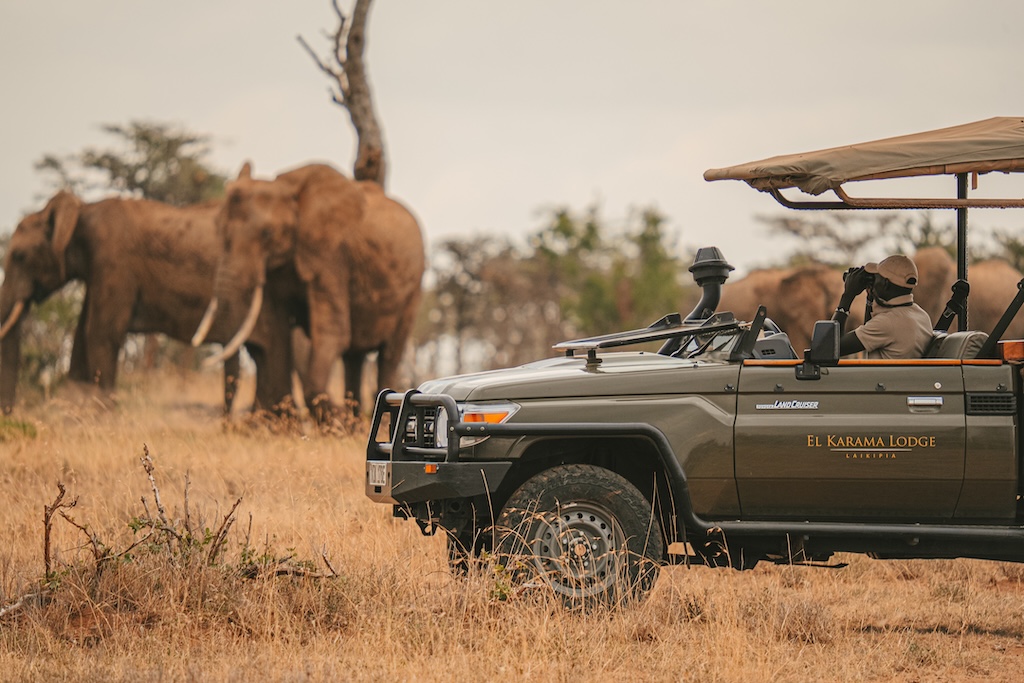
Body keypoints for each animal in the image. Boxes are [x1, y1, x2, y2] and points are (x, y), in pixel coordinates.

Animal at [0, 191, 301, 415]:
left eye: (19, 256)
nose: (9, 415)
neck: (82, 211)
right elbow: (83, 335)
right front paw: (74, 411)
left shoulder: (113, 262)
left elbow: (101, 333)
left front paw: (100, 415)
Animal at [195, 162, 425, 417]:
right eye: (217, 228)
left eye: (267, 234)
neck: (286, 190)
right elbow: (277, 331)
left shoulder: (330, 253)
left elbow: (332, 331)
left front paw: (335, 417)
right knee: (353, 358)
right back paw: (354, 419)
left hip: (413, 290)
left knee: (390, 353)